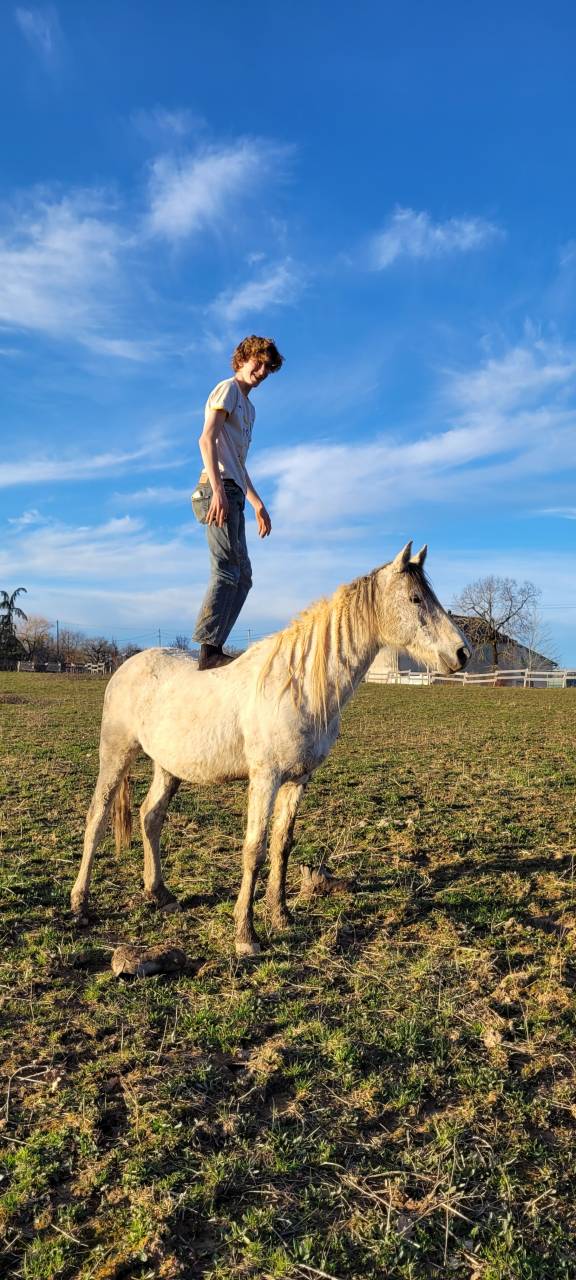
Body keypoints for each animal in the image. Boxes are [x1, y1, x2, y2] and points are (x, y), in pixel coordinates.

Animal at [71, 542, 469, 955]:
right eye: (415, 598)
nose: (462, 653)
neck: (297, 685)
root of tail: (125, 666)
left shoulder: (298, 780)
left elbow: (282, 845)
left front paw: (281, 916)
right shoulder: (265, 778)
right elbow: (254, 850)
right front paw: (245, 935)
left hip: (169, 767)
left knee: (151, 816)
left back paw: (160, 894)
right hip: (116, 754)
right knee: (97, 818)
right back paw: (80, 904)